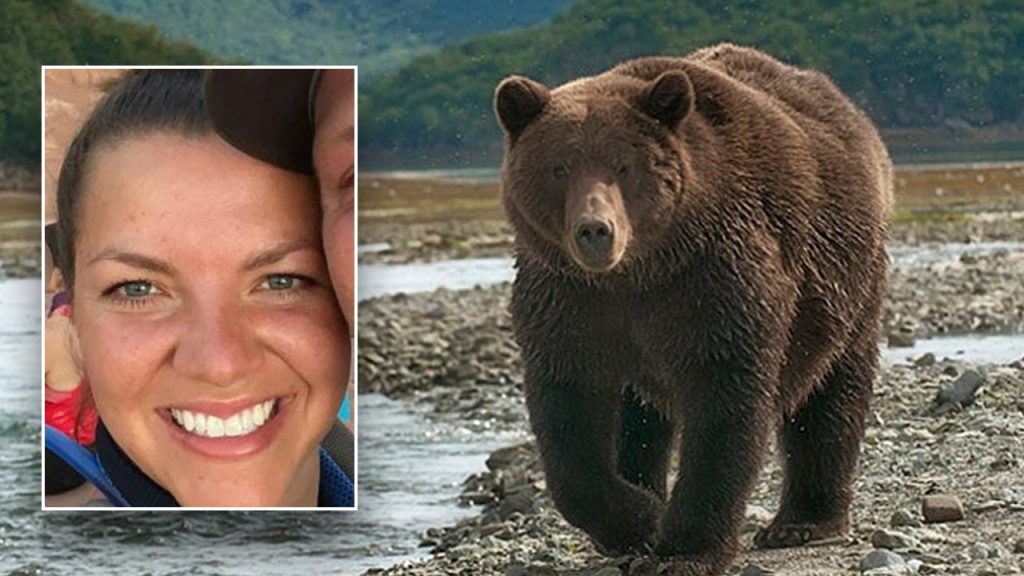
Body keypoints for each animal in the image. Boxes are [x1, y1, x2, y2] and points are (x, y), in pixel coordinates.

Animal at [493, 43, 892, 575]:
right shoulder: (568, 299)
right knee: (641, 415)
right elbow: (567, 410)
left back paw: (803, 520)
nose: (595, 230)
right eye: (559, 167)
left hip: (846, 283)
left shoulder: (712, 279)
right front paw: (639, 521)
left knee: (832, 389)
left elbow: (724, 402)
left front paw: (682, 551)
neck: (637, 272)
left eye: (624, 165)